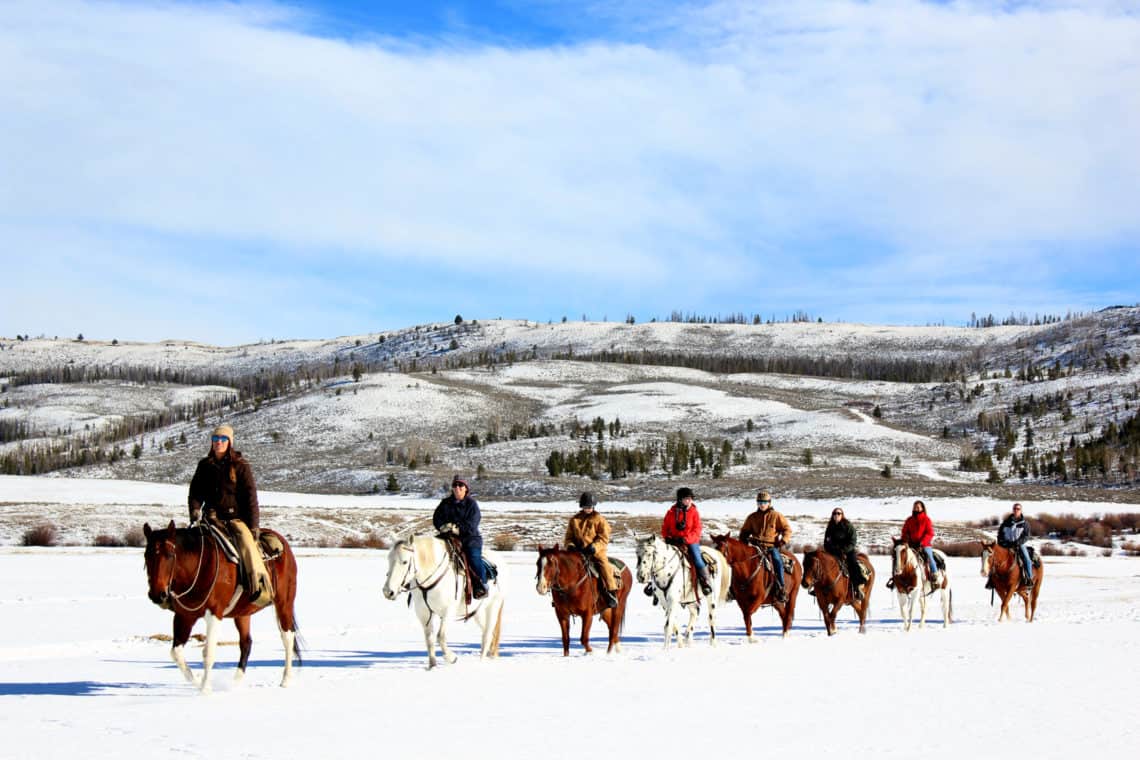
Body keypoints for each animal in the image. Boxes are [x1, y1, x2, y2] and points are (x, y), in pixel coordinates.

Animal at [141, 524, 298, 688]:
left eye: (170, 555)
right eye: (146, 555)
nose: (157, 595)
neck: (200, 566)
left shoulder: (214, 613)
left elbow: (208, 652)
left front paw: (205, 689)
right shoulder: (184, 616)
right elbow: (176, 653)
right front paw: (197, 682)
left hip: (284, 604)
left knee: (288, 637)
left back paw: (286, 679)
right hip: (242, 614)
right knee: (246, 643)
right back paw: (235, 682)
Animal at [383, 533, 503, 669]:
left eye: (405, 561)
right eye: (389, 560)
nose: (388, 591)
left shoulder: (448, 611)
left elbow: (440, 636)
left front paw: (452, 658)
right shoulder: (424, 613)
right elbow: (429, 639)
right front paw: (432, 666)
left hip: (493, 606)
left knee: (487, 634)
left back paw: (481, 661)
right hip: (477, 612)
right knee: (487, 632)